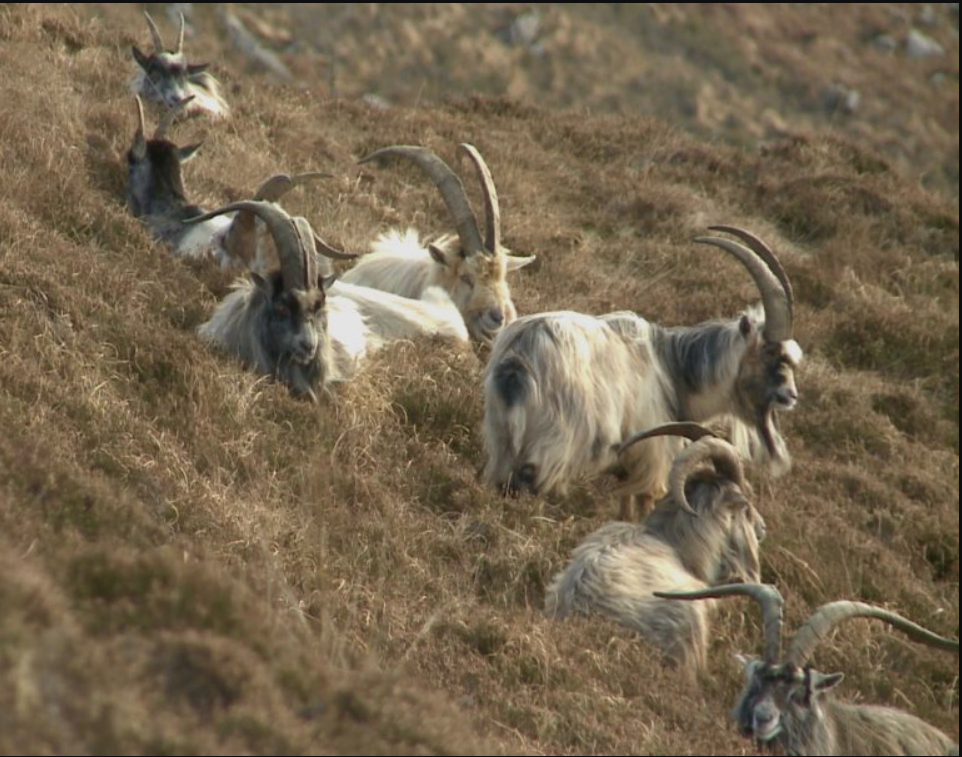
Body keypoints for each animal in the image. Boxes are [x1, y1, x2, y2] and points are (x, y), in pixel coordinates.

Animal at [483, 226, 801, 520]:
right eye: (770, 353)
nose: (791, 396)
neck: (673, 369)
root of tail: (518, 359)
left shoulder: (629, 459)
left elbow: (625, 501)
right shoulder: (653, 455)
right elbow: (646, 499)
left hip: (501, 436)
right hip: (554, 442)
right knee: (526, 481)